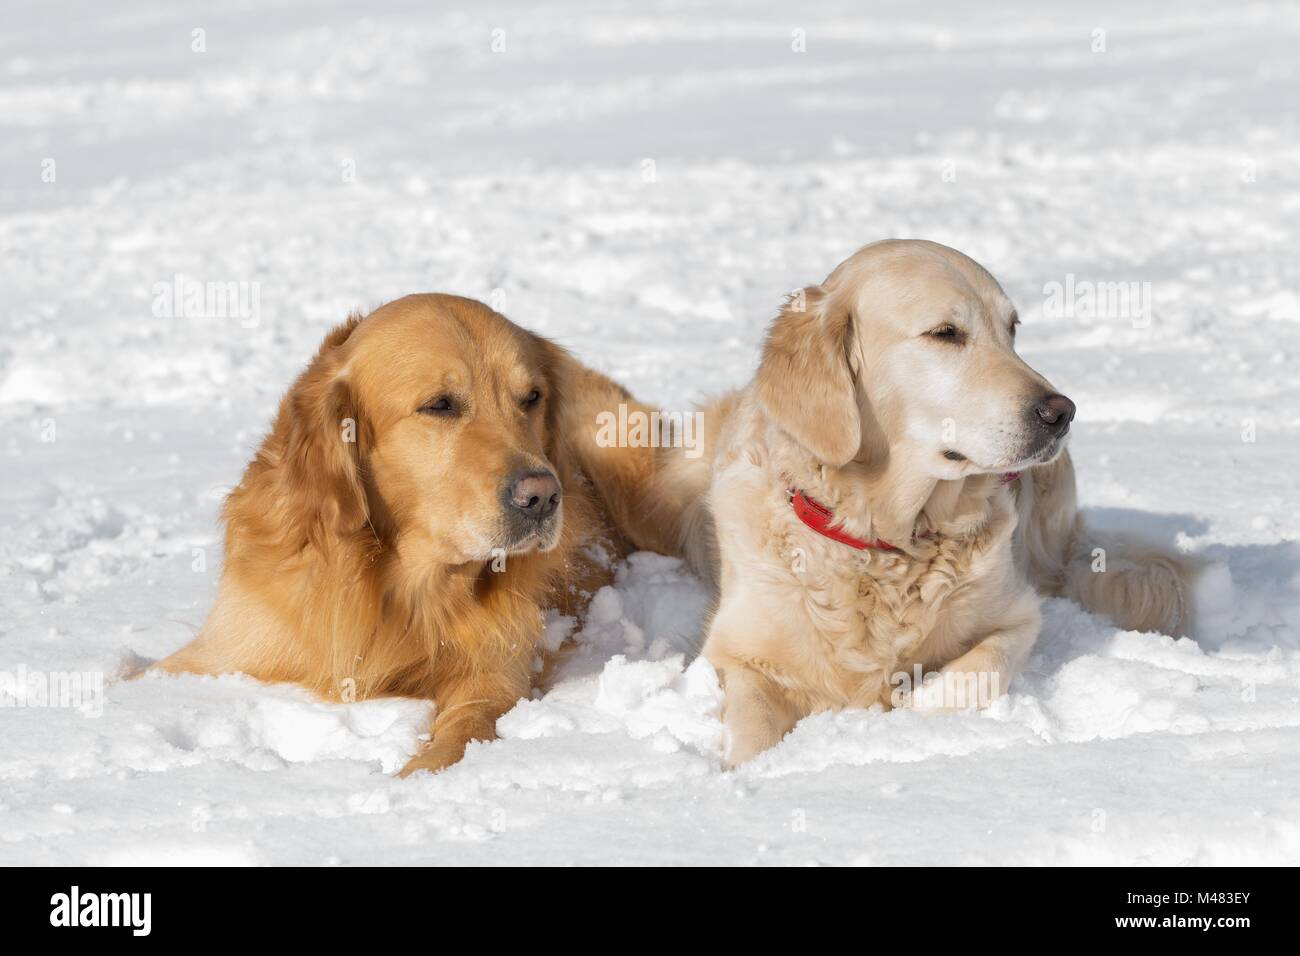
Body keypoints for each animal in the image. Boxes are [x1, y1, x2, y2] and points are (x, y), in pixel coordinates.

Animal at [644, 243, 1201, 764]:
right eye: (946, 333)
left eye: (1012, 330)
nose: (1061, 413)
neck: (884, 543)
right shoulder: (736, 650)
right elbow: (753, 727)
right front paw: (748, 772)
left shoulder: (1018, 614)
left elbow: (981, 669)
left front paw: (916, 709)